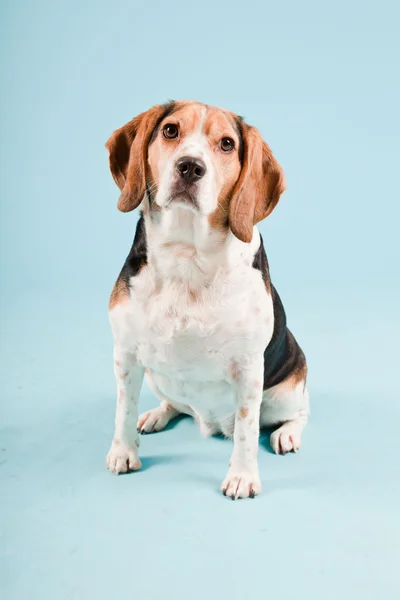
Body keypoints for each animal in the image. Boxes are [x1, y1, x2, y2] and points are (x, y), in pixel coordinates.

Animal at [104, 101, 310, 500]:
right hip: (155, 375)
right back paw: (158, 414)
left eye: (227, 144)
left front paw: (243, 476)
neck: (187, 254)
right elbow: (122, 409)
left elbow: (246, 430)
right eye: (170, 130)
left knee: (298, 414)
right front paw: (123, 452)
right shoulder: (126, 353)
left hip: (287, 391)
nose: (190, 166)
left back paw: (287, 433)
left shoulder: (248, 368)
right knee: (176, 405)